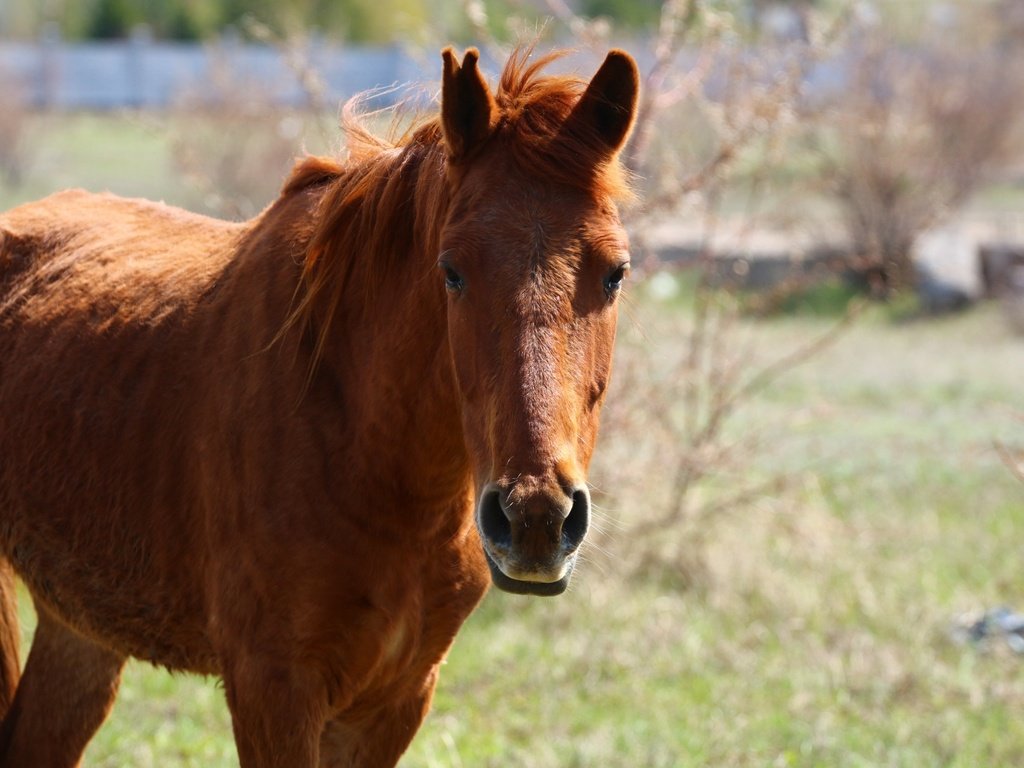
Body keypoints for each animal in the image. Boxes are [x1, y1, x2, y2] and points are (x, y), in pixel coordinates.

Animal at [0, 46, 634, 768]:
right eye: (451, 270)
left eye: (615, 273)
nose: (535, 518)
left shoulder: (395, 699)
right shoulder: (273, 691)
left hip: (82, 631)